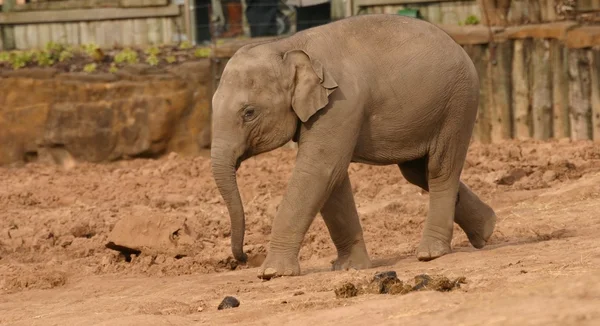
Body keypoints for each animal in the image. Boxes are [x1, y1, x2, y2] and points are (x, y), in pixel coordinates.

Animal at [211, 14, 496, 280]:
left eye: (249, 113)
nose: (244, 258)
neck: (286, 45)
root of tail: (458, 45)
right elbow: (333, 180)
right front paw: (349, 267)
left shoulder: (340, 103)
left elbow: (319, 170)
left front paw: (272, 272)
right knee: (417, 172)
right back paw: (487, 229)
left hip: (457, 104)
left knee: (439, 169)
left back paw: (431, 253)